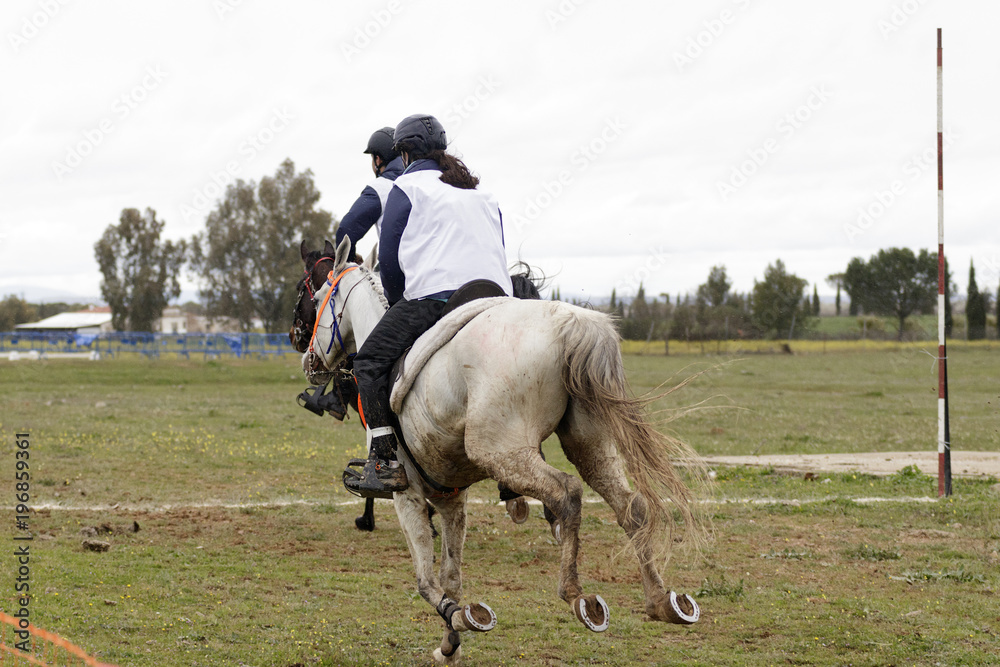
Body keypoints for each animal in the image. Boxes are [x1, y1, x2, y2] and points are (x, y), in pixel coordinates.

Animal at [304, 237, 704, 664]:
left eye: (319, 297)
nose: (309, 358)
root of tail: (570, 324)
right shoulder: (450, 499)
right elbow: (451, 578)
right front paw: (450, 644)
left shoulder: (407, 494)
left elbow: (427, 581)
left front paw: (460, 618)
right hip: (589, 445)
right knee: (630, 505)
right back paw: (661, 600)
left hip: (500, 451)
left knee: (567, 493)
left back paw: (577, 595)